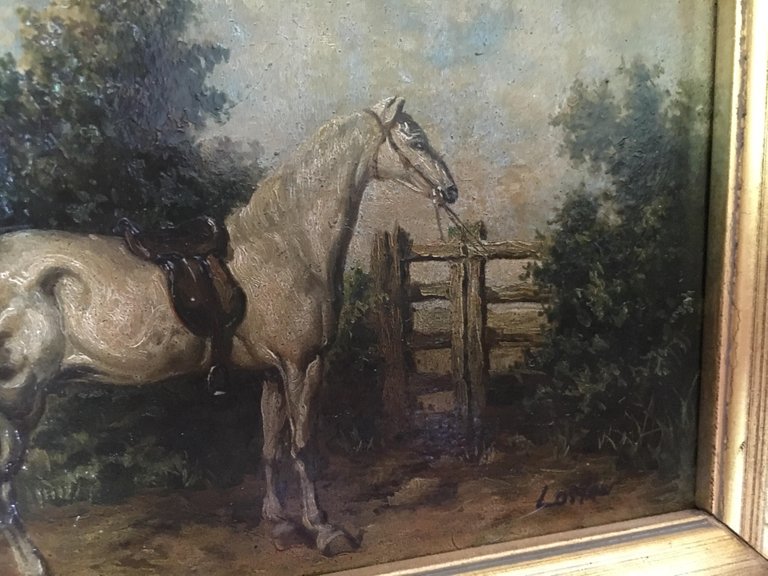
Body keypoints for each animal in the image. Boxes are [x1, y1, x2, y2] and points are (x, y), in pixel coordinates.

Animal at [0, 96, 458, 575]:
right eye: (415, 141)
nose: (451, 192)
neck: (286, 245)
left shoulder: (273, 373)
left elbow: (271, 446)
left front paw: (279, 523)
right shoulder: (303, 365)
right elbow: (303, 447)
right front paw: (322, 529)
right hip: (20, 401)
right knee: (8, 492)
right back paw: (34, 564)